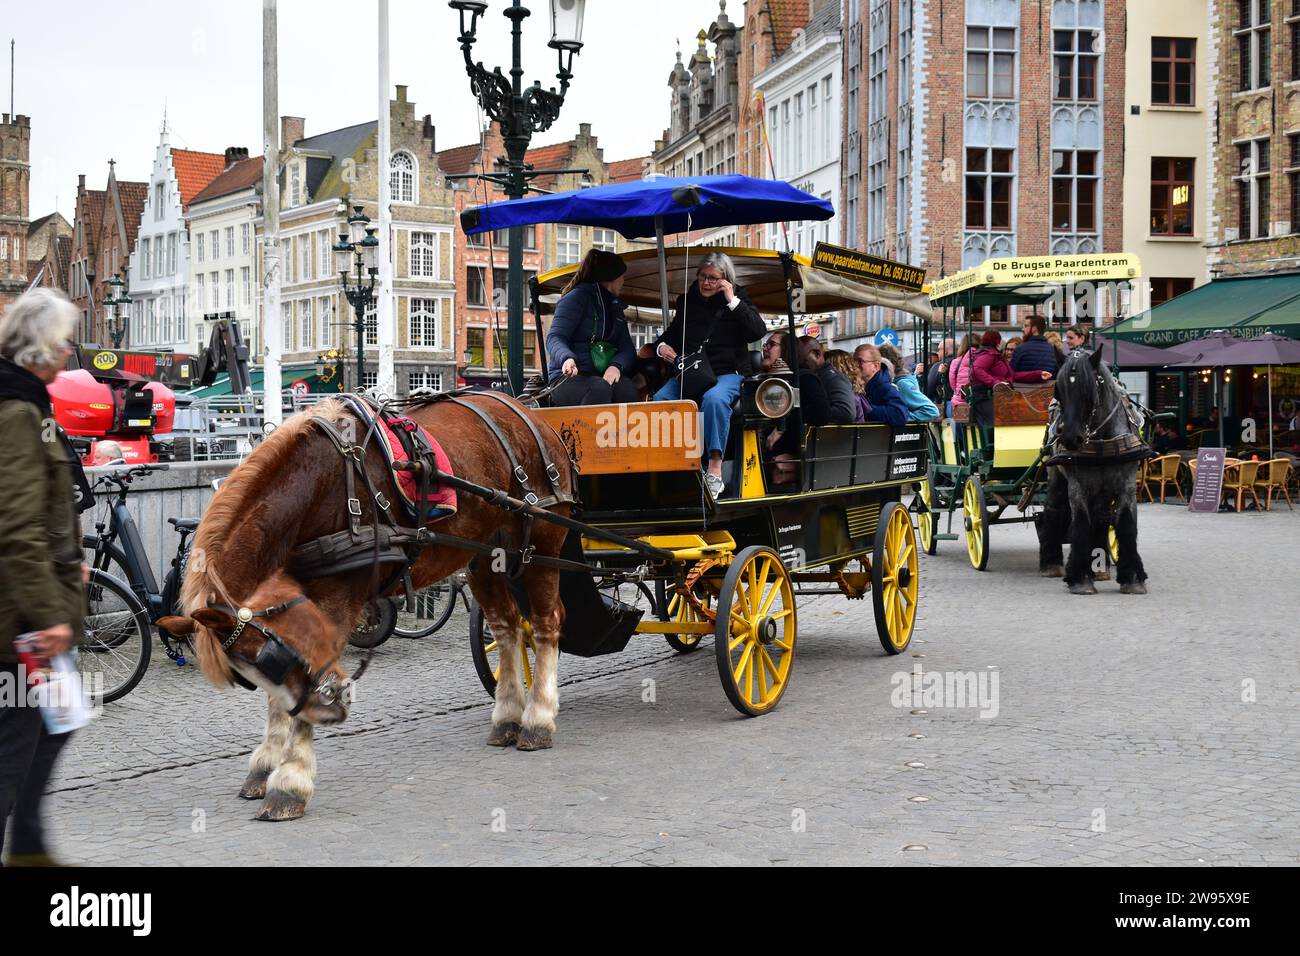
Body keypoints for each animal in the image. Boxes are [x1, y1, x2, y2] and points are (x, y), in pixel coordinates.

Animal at [159, 394, 576, 821]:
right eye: (249, 672)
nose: (328, 714)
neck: (320, 483)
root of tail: (527, 412)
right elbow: (279, 697)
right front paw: (267, 764)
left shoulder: (340, 597)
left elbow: (320, 672)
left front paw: (290, 781)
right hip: (484, 555)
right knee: (507, 627)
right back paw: (507, 717)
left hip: (542, 544)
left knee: (545, 623)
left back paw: (538, 720)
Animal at [1037, 348, 1149, 596]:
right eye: (1059, 391)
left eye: (1090, 390)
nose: (1070, 438)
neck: (1102, 439)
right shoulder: (1078, 486)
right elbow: (1080, 523)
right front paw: (1080, 579)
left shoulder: (1126, 485)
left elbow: (1126, 523)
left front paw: (1132, 578)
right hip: (1057, 478)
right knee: (1053, 510)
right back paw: (1051, 563)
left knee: (1101, 516)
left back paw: (1100, 565)